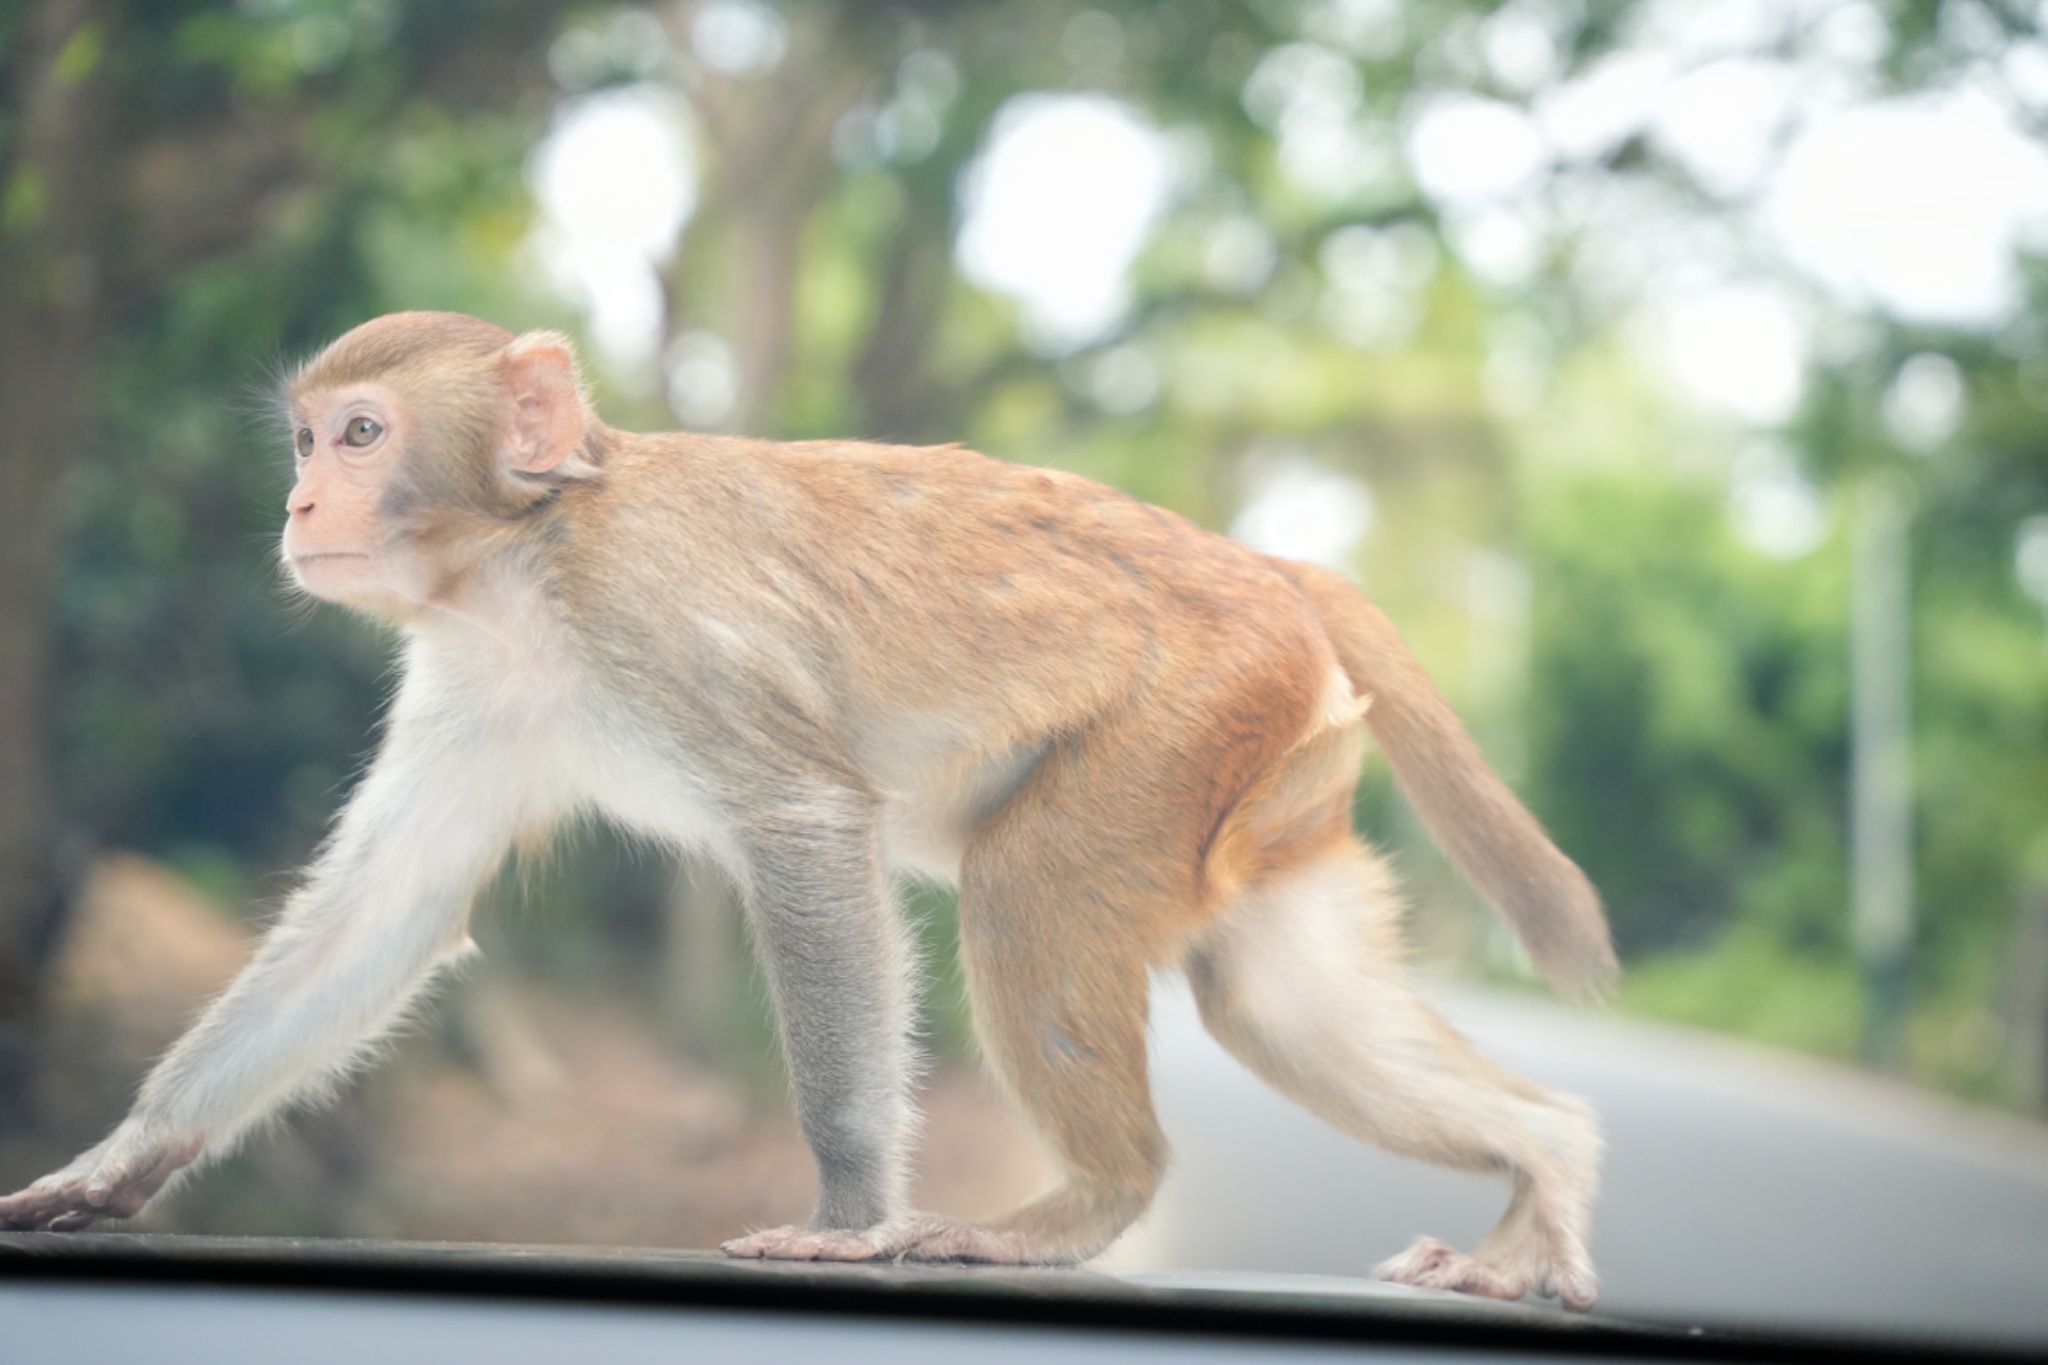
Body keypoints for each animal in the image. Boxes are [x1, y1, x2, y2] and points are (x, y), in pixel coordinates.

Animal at [0, 309, 1613, 1309]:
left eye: (357, 437)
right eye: (304, 442)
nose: (296, 510)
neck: (527, 554)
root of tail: (1269, 568)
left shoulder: (655, 618)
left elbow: (807, 824)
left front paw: (846, 1217)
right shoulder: (475, 683)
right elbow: (383, 913)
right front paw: (111, 1164)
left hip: (1177, 723)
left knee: (1030, 889)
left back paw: (1081, 1207)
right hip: (1262, 784)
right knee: (1280, 1002)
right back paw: (1544, 1167)